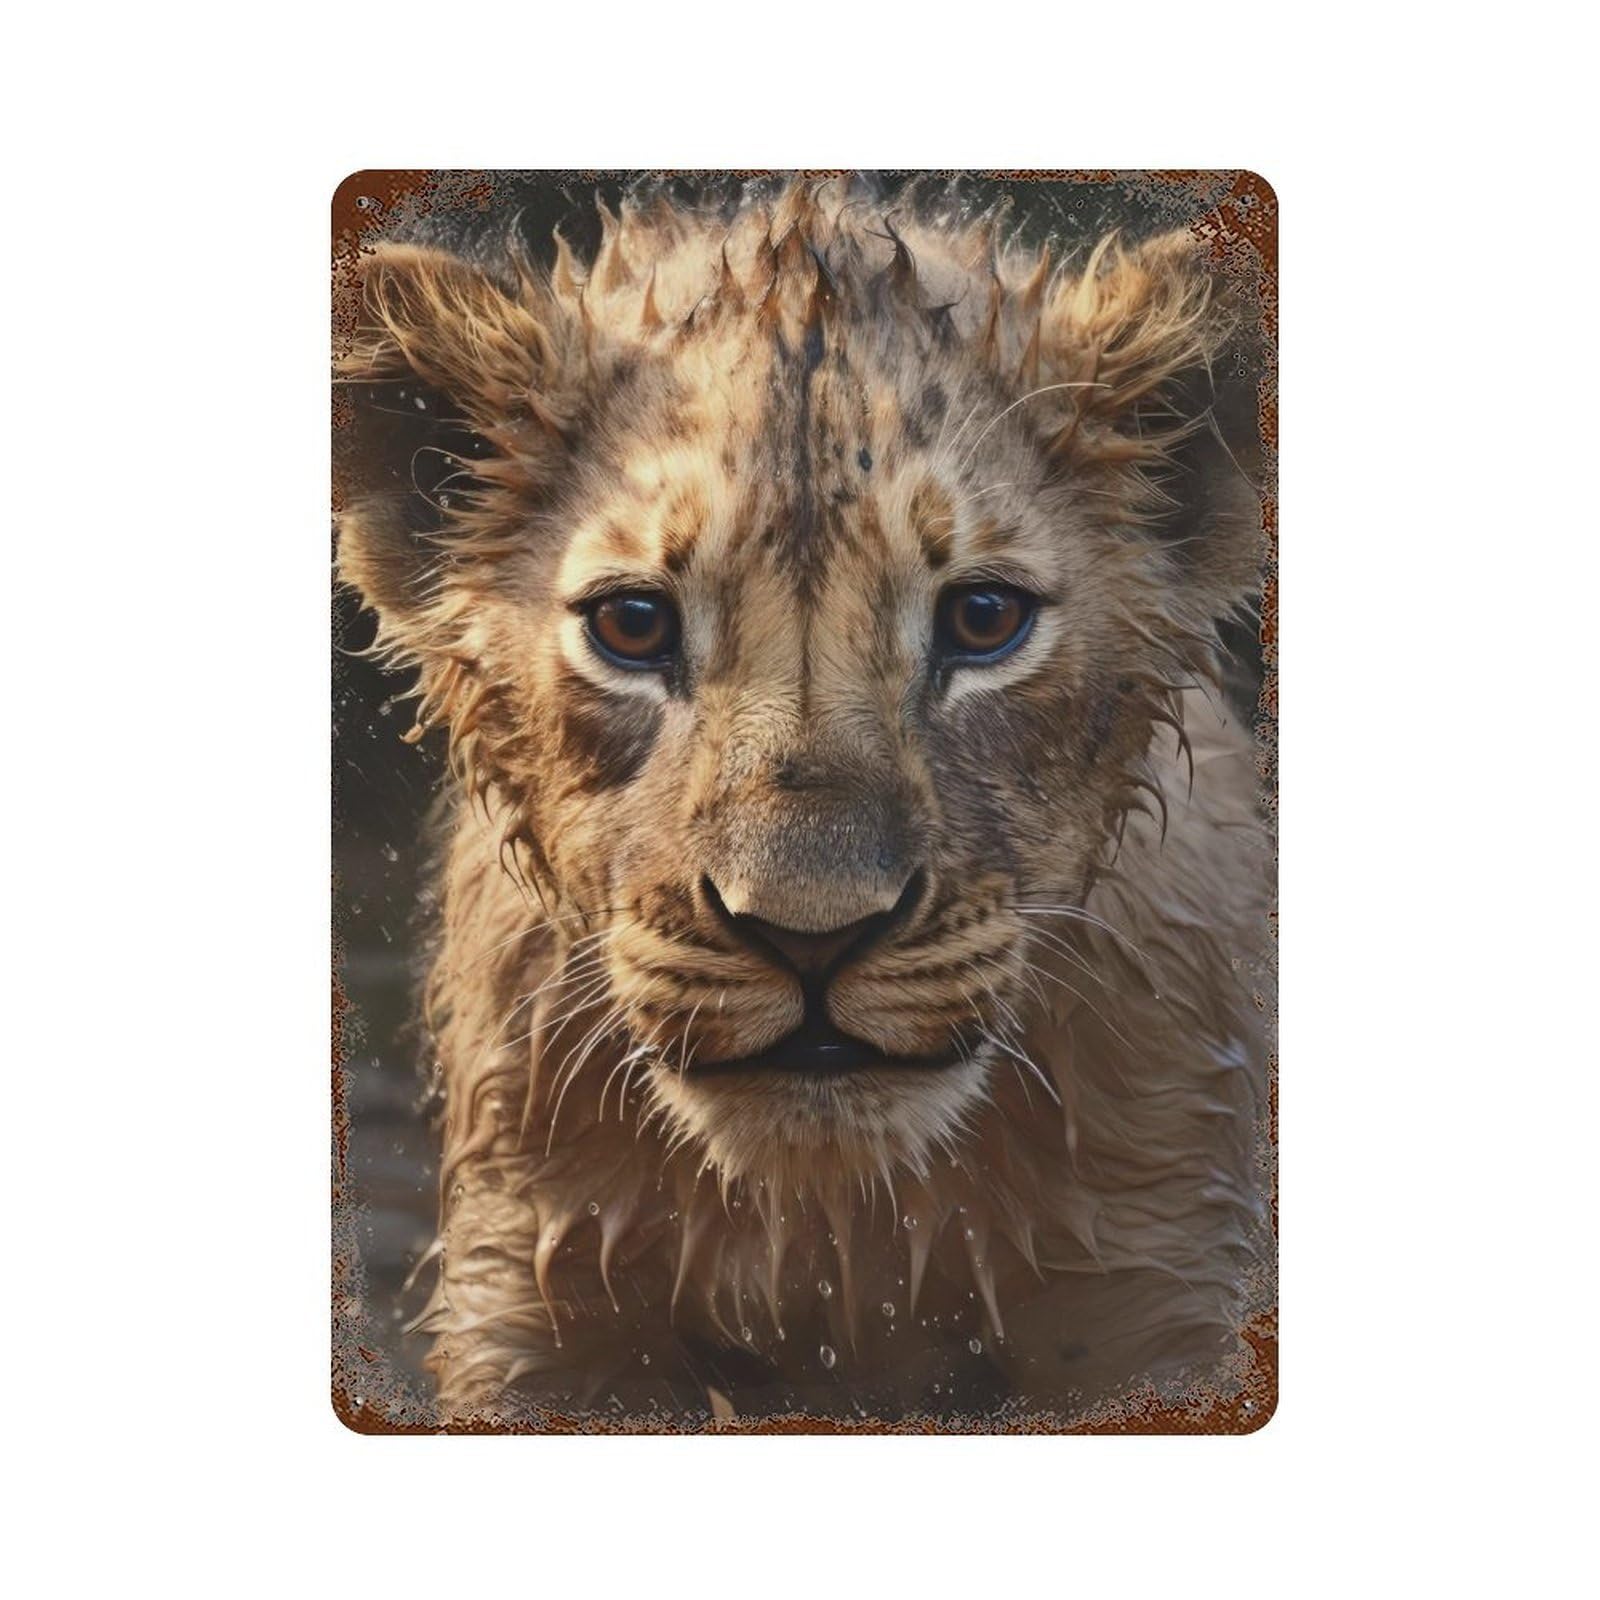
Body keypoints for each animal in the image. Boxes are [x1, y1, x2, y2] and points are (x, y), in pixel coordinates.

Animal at [335, 177, 1273, 1426]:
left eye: (984, 618)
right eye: (632, 625)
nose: (810, 936)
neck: (832, 1228)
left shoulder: (1158, 1277)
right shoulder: (530, 1302)